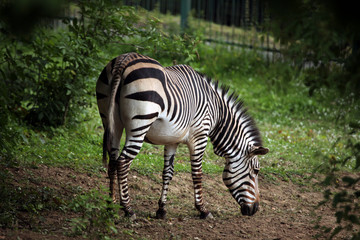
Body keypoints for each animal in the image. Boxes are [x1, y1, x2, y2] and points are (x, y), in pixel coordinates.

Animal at [95, 52, 268, 219]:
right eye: (256, 171)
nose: (255, 209)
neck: (218, 113)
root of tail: (124, 60)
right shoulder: (200, 137)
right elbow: (197, 173)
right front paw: (203, 210)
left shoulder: (172, 140)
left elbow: (167, 173)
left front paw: (161, 210)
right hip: (140, 123)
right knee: (123, 162)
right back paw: (128, 210)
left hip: (111, 121)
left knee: (112, 161)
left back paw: (110, 205)